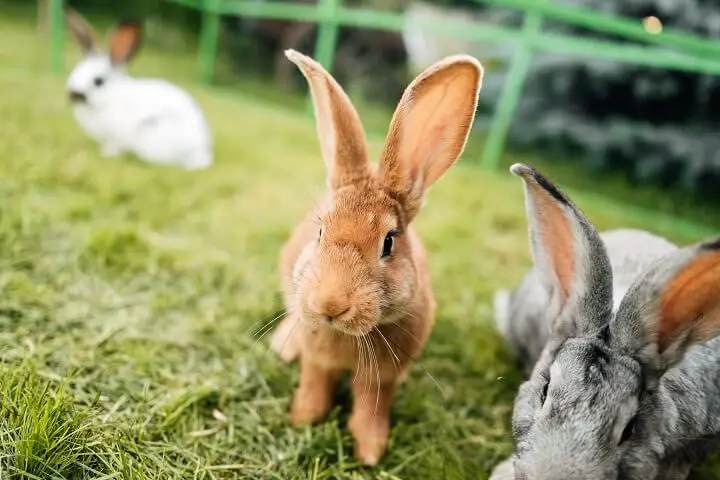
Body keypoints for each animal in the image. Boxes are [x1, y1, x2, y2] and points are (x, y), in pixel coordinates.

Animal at [64, 7, 212, 171]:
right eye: (75, 71)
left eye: (98, 81)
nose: (73, 95)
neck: (111, 96)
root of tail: (201, 155)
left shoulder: (116, 137)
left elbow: (113, 147)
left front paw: (106, 155)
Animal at [270, 49, 484, 464]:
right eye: (320, 232)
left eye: (388, 243)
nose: (330, 304)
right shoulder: (316, 360)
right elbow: (314, 388)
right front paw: (302, 420)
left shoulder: (381, 377)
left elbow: (371, 408)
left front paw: (370, 452)